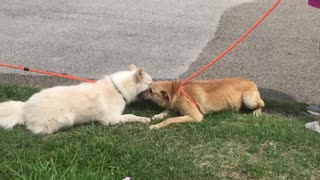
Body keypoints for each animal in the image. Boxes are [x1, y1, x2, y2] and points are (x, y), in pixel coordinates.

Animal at [0, 64, 152, 134]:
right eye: (150, 84)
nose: (154, 86)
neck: (118, 88)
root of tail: (25, 107)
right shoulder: (111, 120)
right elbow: (130, 116)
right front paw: (143, 119)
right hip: (65, 119)